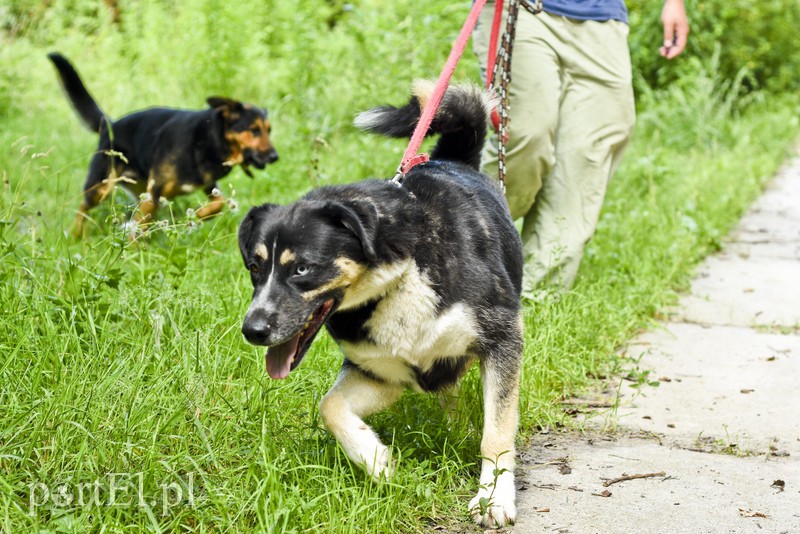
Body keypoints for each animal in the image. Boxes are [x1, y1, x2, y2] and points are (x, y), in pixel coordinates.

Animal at [47, 52, 278, 237]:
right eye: (254, 130)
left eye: (269, 130)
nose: (275, 157)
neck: (209, 137)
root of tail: (109, 125)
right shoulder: (155, 191)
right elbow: (138, 227)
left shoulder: (207, 186)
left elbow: (218, 204)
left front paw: (194, 217)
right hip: (102, 187)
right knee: (83, 207)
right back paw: (75, 235)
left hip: (140, 191)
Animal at [236, 82, 524, 528]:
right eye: (254, 267)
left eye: (302, 268)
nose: (252, 330)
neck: (399, 280)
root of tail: (450, 158)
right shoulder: (381, 373)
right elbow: (330, 406)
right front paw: (374, 459)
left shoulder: (503, 340)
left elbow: (496, 433)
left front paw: (493, 498)